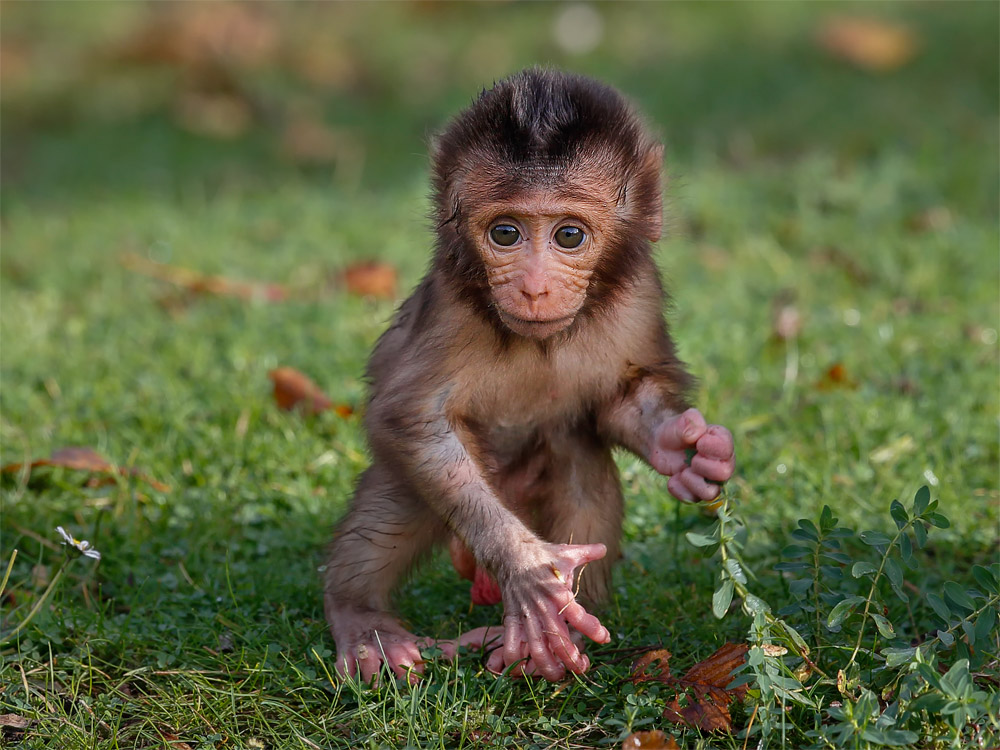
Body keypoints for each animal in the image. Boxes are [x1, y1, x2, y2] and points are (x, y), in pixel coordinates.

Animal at [326, 67, 736, 684]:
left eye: (569, 236)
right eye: (505, 234)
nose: (535, 288)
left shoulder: (638, 294)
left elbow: (620, 399)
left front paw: (689, 452)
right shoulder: (450, 310)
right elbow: (411, 418)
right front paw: (529, 570)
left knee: (578, 456)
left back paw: (553, 642)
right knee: (402, 502)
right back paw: (364, 622)